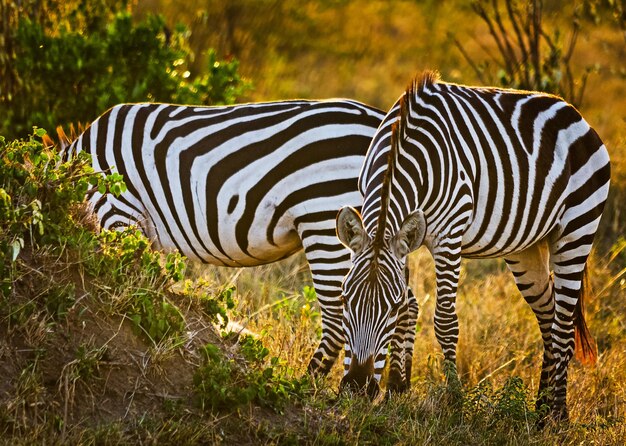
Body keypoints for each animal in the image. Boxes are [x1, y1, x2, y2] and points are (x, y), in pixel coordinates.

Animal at [53, 100, 390, 376]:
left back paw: (315, 386)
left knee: (340, 317)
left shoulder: (118, 212)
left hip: (326, 217)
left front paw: (145, 332)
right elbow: (151, 283)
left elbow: (133, 285)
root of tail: (380, 118)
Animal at [336, 70, 608, 422]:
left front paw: (454, 401)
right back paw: (541, 406)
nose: (357, 385)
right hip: (525, 248)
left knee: (563, 326)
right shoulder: (402, 242)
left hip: (577, 228)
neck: (405, 147)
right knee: (549, 318)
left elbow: (444, 321)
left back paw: (556, 414)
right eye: (344, 300)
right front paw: (396, 388)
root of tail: (574, 113)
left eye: (390, 309)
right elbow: (412, 304)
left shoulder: (449, 235)